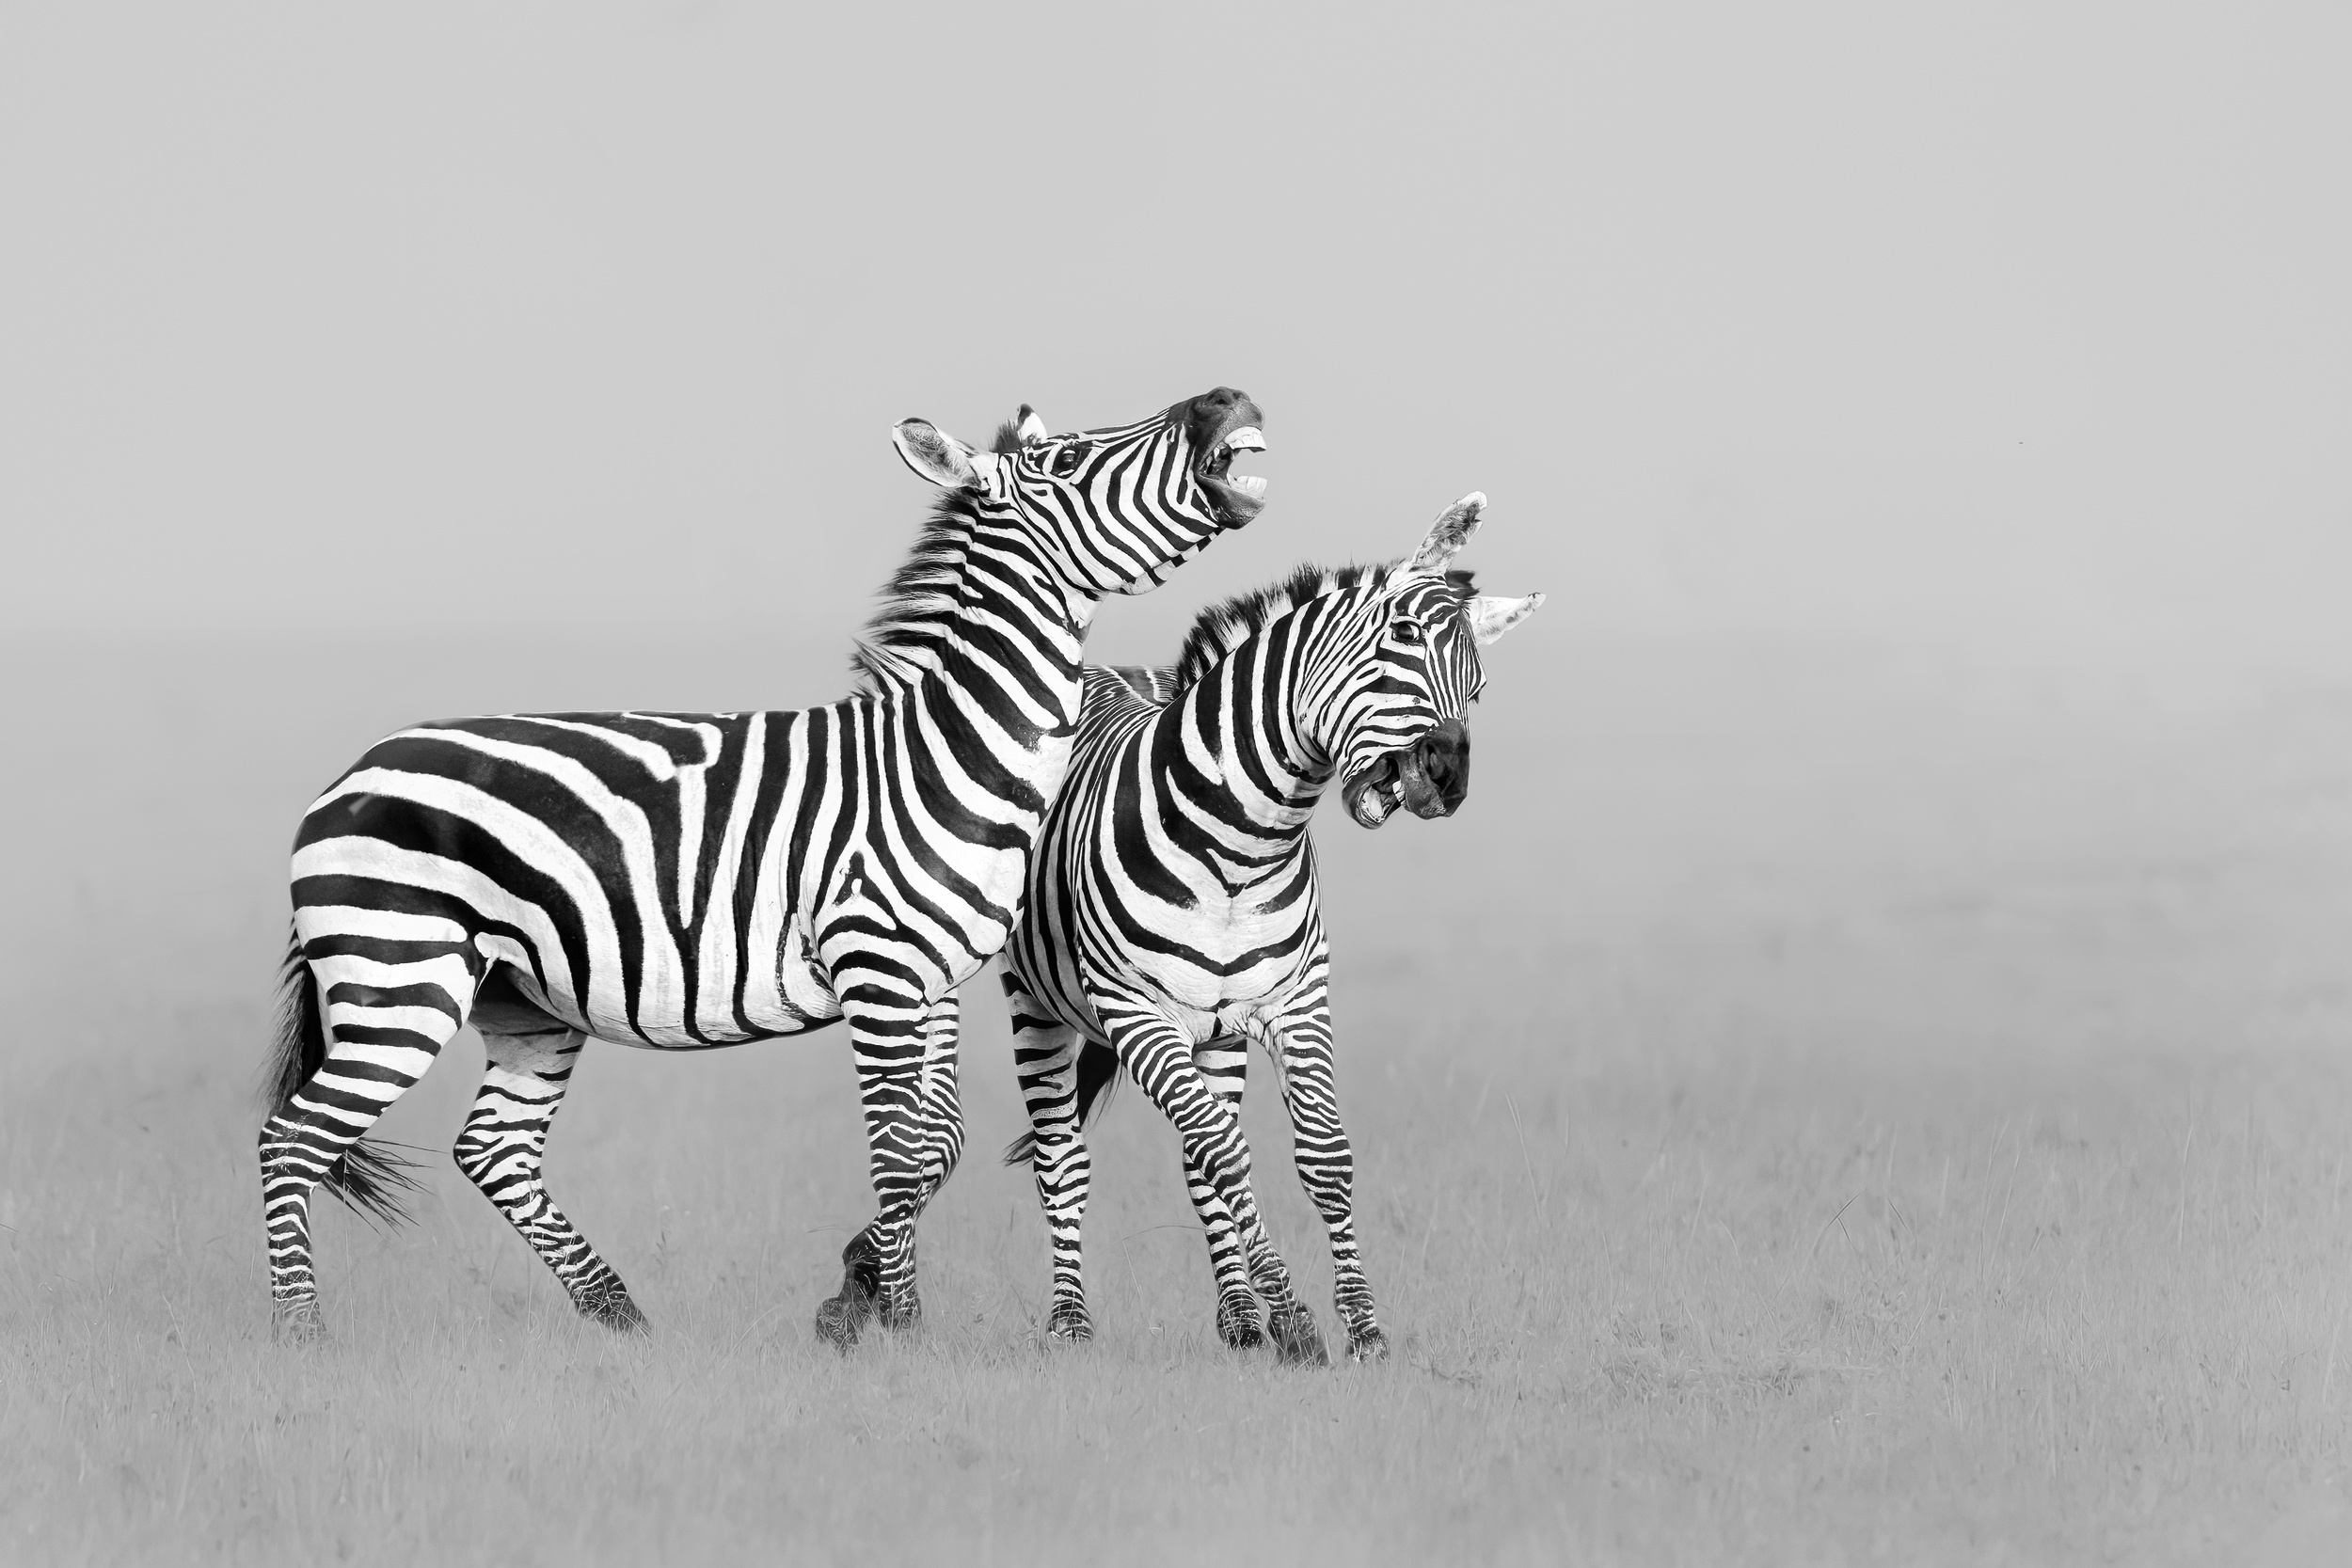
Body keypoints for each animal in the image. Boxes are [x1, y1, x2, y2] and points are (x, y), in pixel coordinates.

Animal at [258, 386, 1269, 1346]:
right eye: (1067, 461)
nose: (1225, 400)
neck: (946, 750)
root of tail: (345, 780)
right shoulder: (877, 966)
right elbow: (898, 1147)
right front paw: (898, 1324)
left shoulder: (934, 981)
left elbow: (937, 1140)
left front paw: (860, 1289)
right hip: (401, 980)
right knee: (289, 1140)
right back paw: (303, 1334)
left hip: (524, 1001)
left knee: (491, 1150)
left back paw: (620, 1314)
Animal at [995, 493, 1542, 1362]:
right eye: (1398, 640)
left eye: (1480, 688)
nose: (1449, 772)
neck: (1240, 847)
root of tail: (1102, 671)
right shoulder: (1136, 1014)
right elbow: (1226, 1151)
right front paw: (1295, 1318)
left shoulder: (1296, 1001)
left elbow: (1318, 1155)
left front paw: (1358, 1325)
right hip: (1034, 1003)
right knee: (1065, 1160)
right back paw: (1072, 1321)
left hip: (1214, 1032)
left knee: (1198, 1157)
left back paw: (1238, 1320)